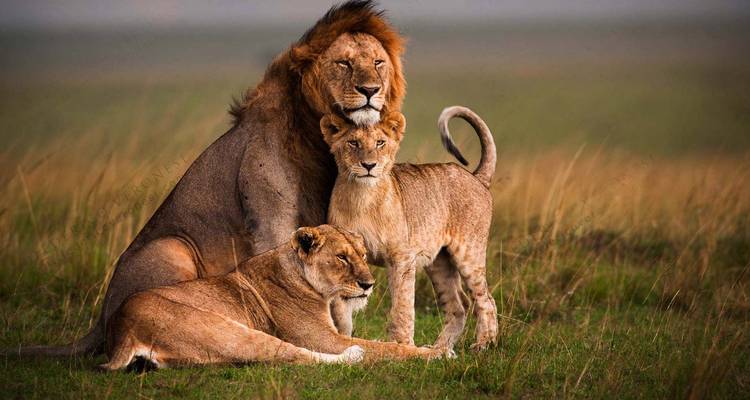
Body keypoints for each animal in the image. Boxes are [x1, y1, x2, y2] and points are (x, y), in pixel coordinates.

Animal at [10, 1, 406, 357]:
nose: (370, 90)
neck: (316, 134)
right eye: (343, 63)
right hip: (172, 247)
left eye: (377, 62)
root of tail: (102, 319)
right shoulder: (270, 219)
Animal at [99, 225, 446, 370]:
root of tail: (121, 328)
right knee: (294, 355)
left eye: (362, 255)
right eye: (341, 258)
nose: (369, 284)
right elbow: (386, 348)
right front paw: (434, 352)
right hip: (225, 330)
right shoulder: (322, 339)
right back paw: (354, 356)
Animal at [322, 106, 499, 351]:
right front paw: (342, 340)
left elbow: (402, 306)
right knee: (459, 305)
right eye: (353, 143)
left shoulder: (402, 257)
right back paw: (440, 350)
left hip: (469, 253)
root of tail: (476, 177)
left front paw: (402, 345)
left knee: (486, 299)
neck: (362, 197)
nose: (369, 166)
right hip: (439, 263)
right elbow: (341, 310)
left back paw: (483, 344)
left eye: (380, 143)